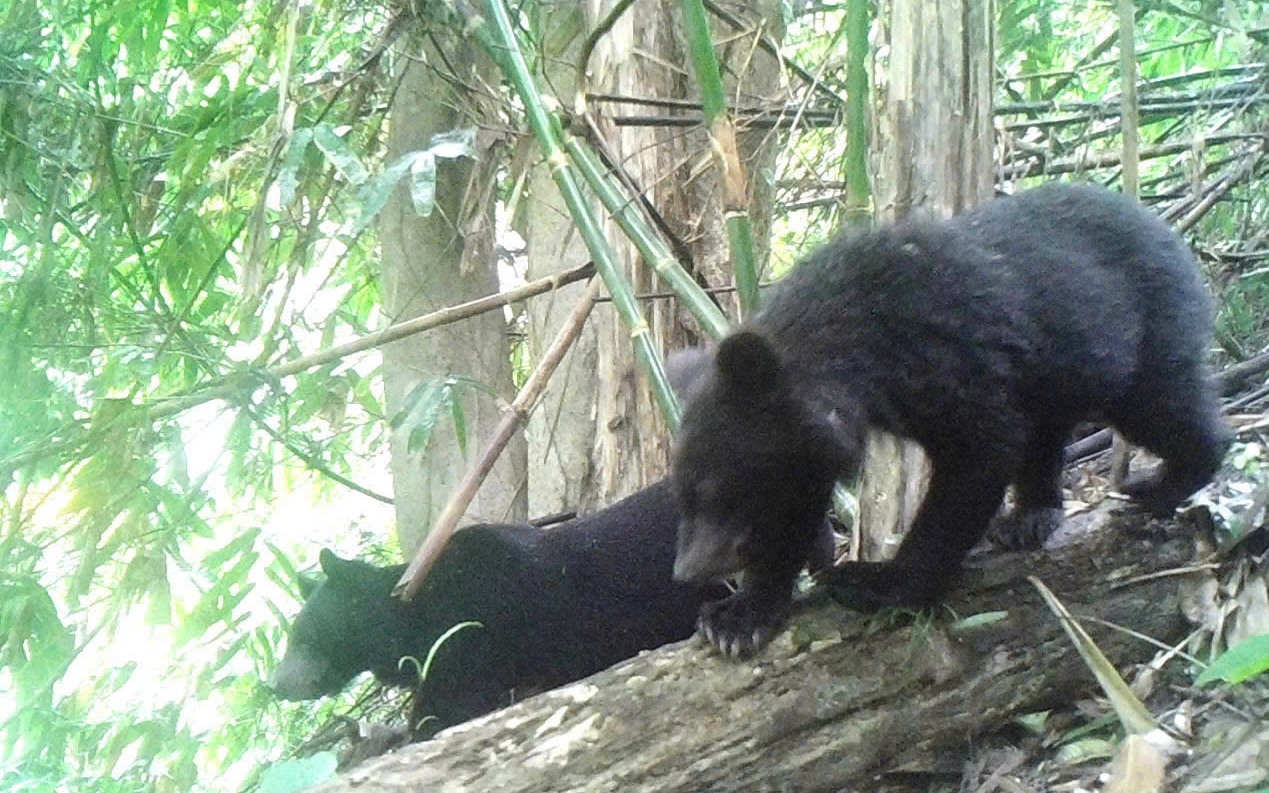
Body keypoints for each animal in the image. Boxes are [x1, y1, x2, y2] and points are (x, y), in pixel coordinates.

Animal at [675, 183, 1228, 654]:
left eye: (713, 491)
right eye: (684, 496)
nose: (684, 572)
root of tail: (1171, 236)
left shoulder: (953, 360)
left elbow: (977, 458)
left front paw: (878, 582)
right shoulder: (808, 445)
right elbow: (792, 511)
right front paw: (737, 618)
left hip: (1143, 333)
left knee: (1161, 405)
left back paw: (1158, 486)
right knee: (1046, 432)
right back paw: (1030, 518)